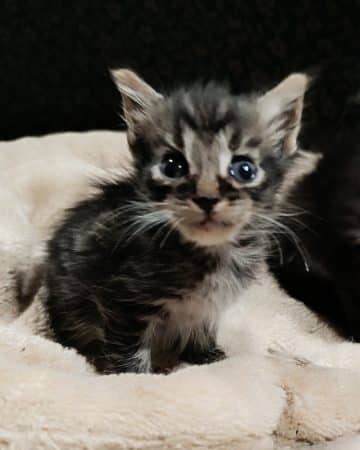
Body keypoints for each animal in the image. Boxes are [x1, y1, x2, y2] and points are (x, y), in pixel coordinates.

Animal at [42, 69, 314, 372]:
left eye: (245, 170)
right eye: (172, 166)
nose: (207, 198)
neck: (208, 252)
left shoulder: (205, 307)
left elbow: (201, 327)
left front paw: (205, 355)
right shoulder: (123, 299)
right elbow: (128, 349)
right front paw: (132, 374)